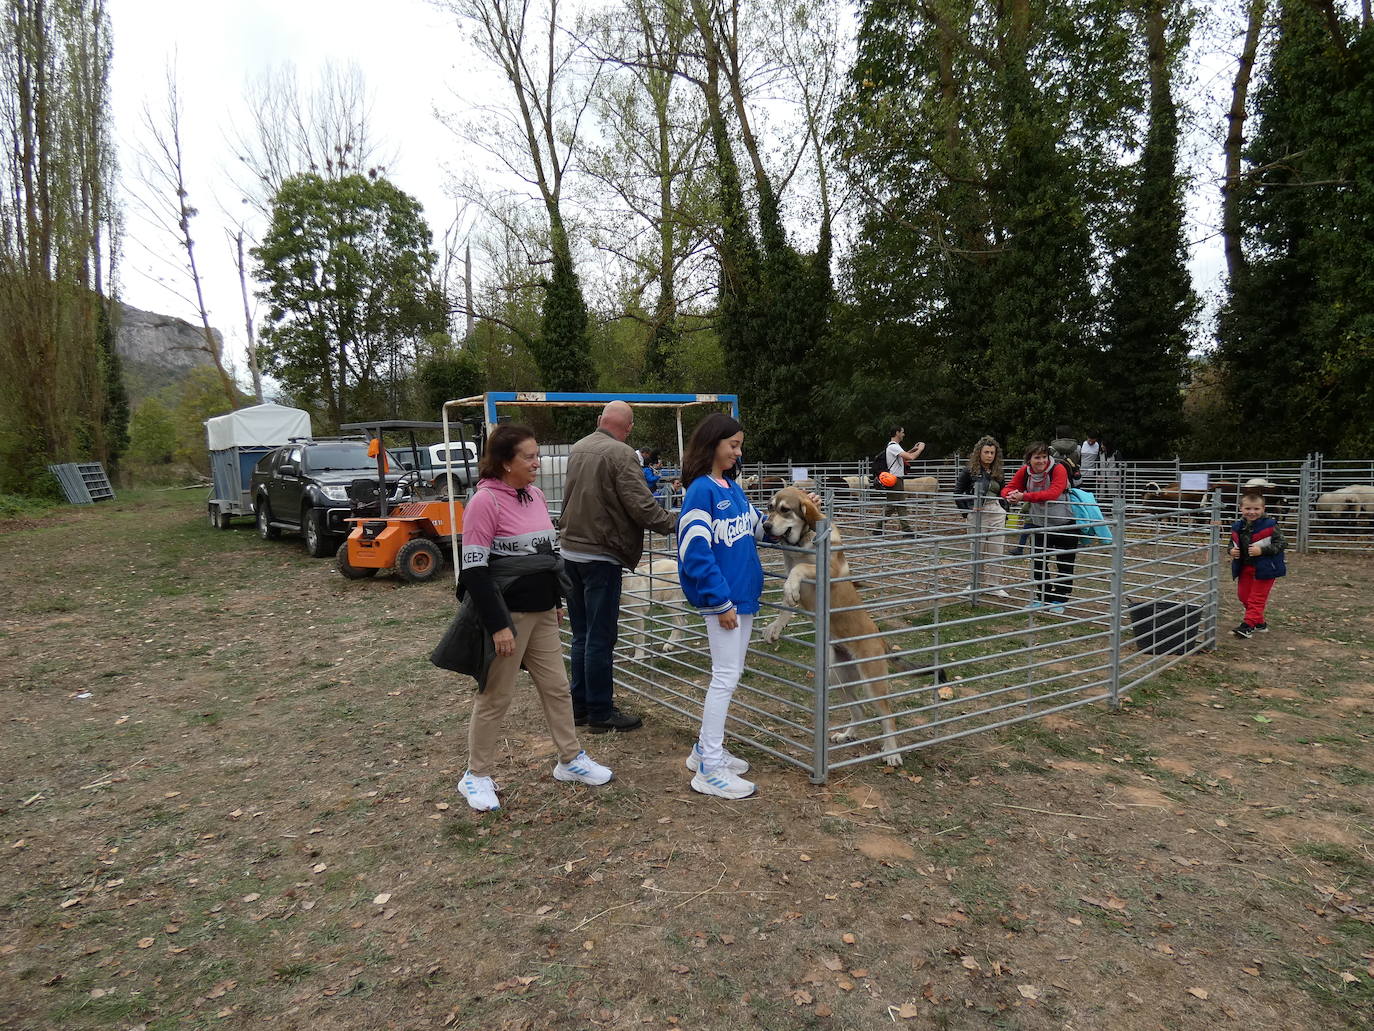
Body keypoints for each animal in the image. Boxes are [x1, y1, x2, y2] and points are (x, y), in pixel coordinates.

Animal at [758, 489, 906, 764]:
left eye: (785, 510)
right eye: (770, 507)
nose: (766, 526)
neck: (801, 543)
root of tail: (880, 639)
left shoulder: (826, 569)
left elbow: (799, 569)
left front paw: (791, 587)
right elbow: (785, 606)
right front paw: (775, 626)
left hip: (872, 681)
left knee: (888, 716)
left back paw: (892, 752)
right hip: (837, 677)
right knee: (859, 710)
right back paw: (847, 735)